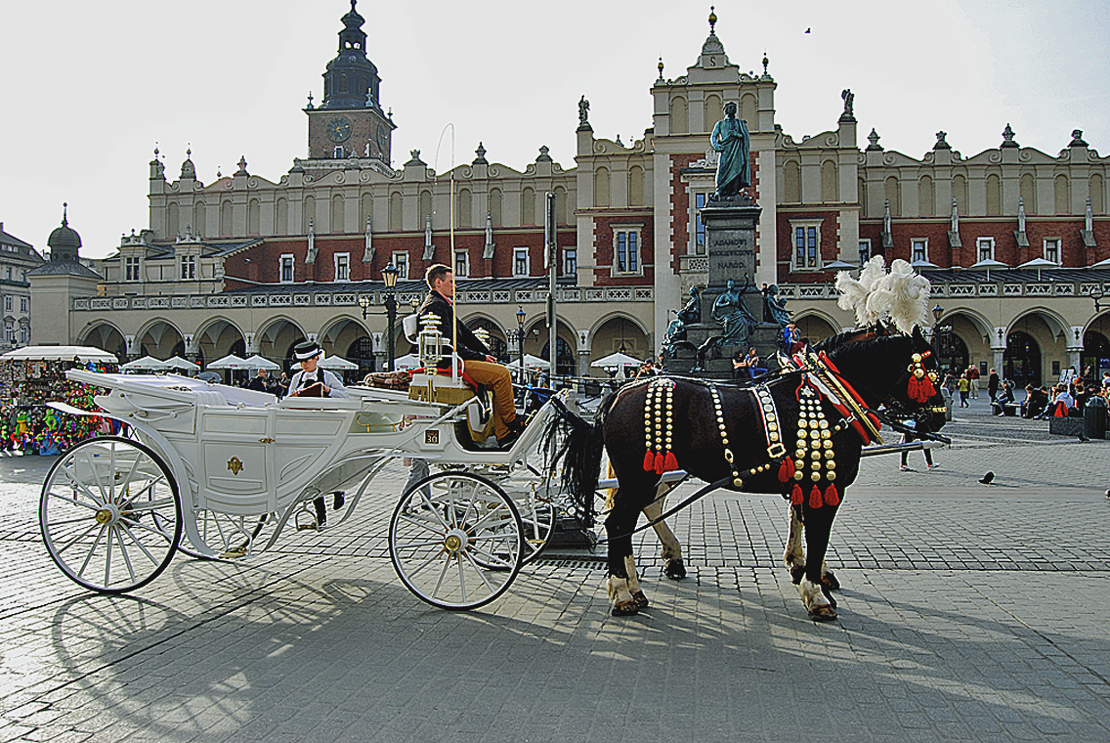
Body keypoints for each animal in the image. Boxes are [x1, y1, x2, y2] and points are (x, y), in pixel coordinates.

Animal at [555, 324, 945, 621]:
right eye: (933, 372)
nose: (939, 418)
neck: (829, 397)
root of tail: (620, 391)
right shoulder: (826, 483)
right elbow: (818, 536)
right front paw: (816, 593)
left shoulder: (805, 478)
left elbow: (799, 521)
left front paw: (801, 568)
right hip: (640, 474)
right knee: (618, 524)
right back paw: (622, 592)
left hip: (653, 472)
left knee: (638, 515)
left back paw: (644, 579)